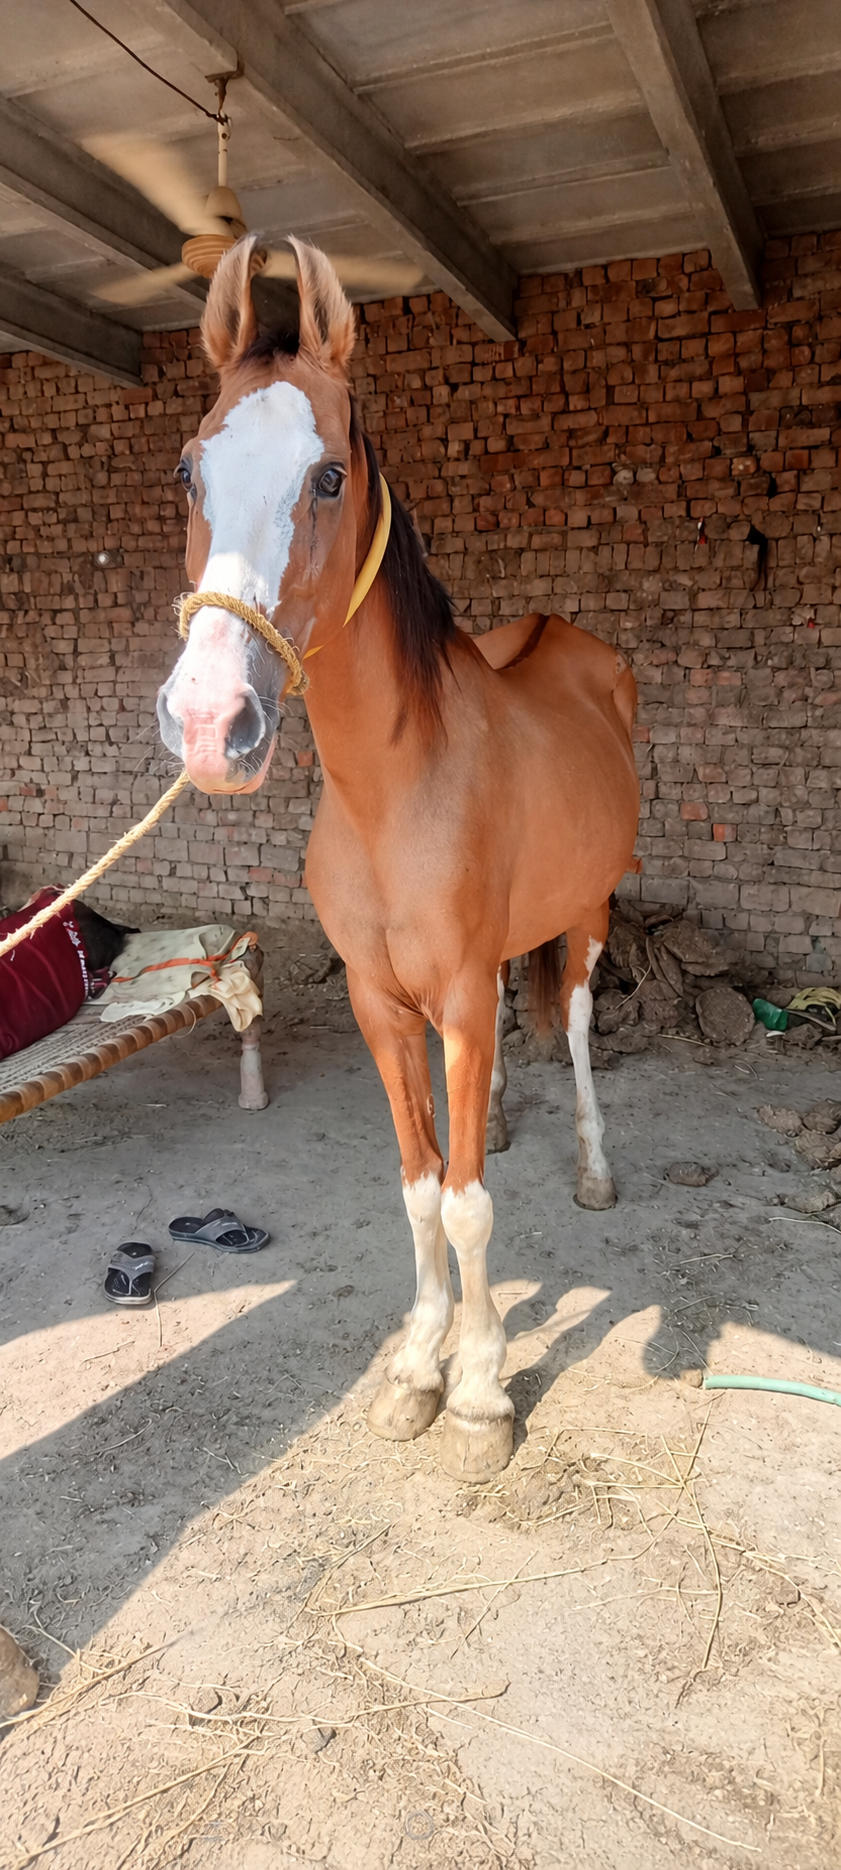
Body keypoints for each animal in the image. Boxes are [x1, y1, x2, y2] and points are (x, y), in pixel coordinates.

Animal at [157, 236, 640, 1481]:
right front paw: (419, 1365)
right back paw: (508, 1118)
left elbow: (469, 1206)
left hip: (590, 912)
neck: (396, 795)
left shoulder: (457, 996)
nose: (211, 721)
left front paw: (477, 1394)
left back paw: (592, 1166)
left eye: (328, 476)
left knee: (572, 1023)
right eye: (189, 470)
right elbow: (423, 1184)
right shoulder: (384, 1002)